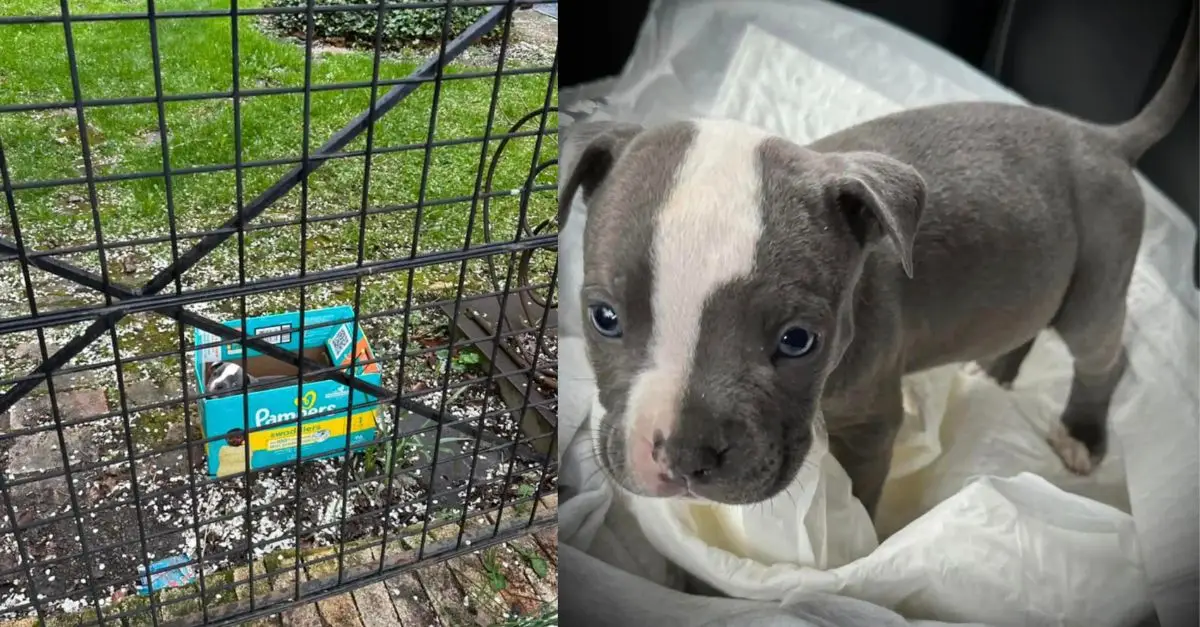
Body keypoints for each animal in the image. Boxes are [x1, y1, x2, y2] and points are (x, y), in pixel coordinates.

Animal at [564, 9, 1200, 514]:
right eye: (604, 318)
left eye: (799, 340)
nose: (685, 453)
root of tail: (1104, 139)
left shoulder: (870, 429)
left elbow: (863, 499)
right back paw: (995, 369)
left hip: (1098, 274)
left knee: (1104, 355)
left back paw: (1081, 433)